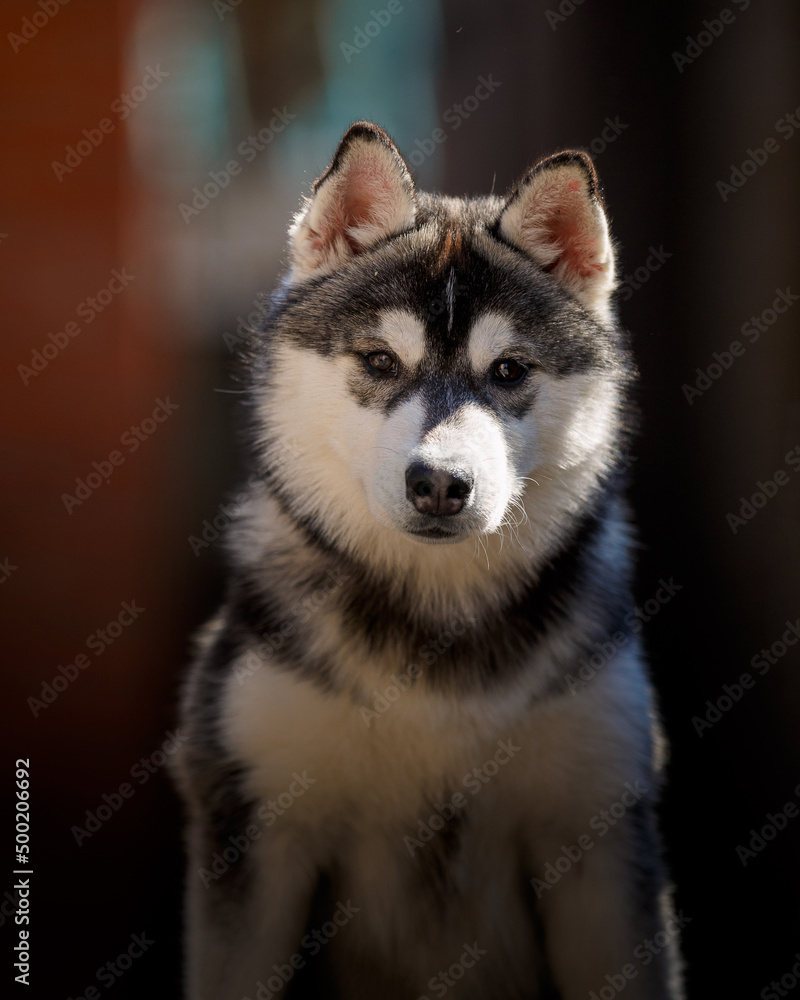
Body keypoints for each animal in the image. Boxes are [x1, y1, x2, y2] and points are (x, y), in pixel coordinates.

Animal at [172, 121, 684, 996]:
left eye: (508, 371)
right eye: (381, 361)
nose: (440, 483)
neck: (436, 629)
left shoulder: (597, 826)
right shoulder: (255, 817)